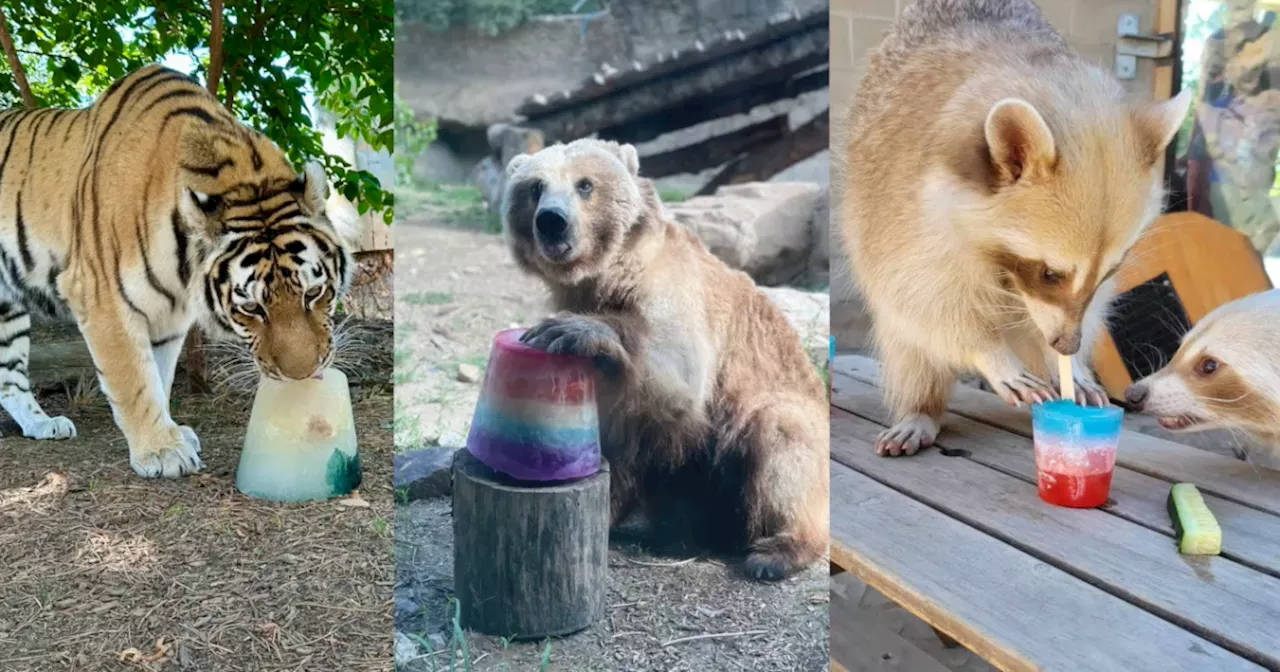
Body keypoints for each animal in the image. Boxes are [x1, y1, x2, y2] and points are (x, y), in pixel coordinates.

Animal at [0, 65, 355, 476]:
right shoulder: (102, 298)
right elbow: (134, 380)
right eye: (252, 308)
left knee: (8, 379)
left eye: (314, 292)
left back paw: (42, 423)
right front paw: (161, 450)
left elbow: (160, 375)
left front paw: (171, 433)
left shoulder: (168, 318)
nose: (302, 376)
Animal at [499, 138, 829, 578]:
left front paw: (568, 329)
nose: (552, 220)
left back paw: (777, 551)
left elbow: (676, 372)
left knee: (781, 437)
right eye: (535, 187)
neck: (605, 278)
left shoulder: (673, 291)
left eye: (585, 184)